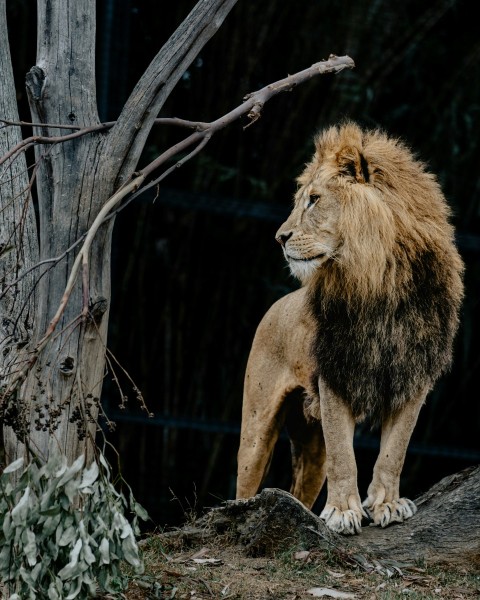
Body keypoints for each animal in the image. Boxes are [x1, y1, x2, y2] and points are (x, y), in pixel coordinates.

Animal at [236, 122, 464, 536]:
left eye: (314, 200)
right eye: (301, 200)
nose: (280, 237)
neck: (380, 281)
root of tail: (276, 305)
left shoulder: (414, 376)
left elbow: (394, 451)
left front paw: (387, 504)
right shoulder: (336, 372)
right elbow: (344, 456)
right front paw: (343, 512)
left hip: (310, 444)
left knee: (303, 485)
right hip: (256, 430)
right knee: (246, 484)